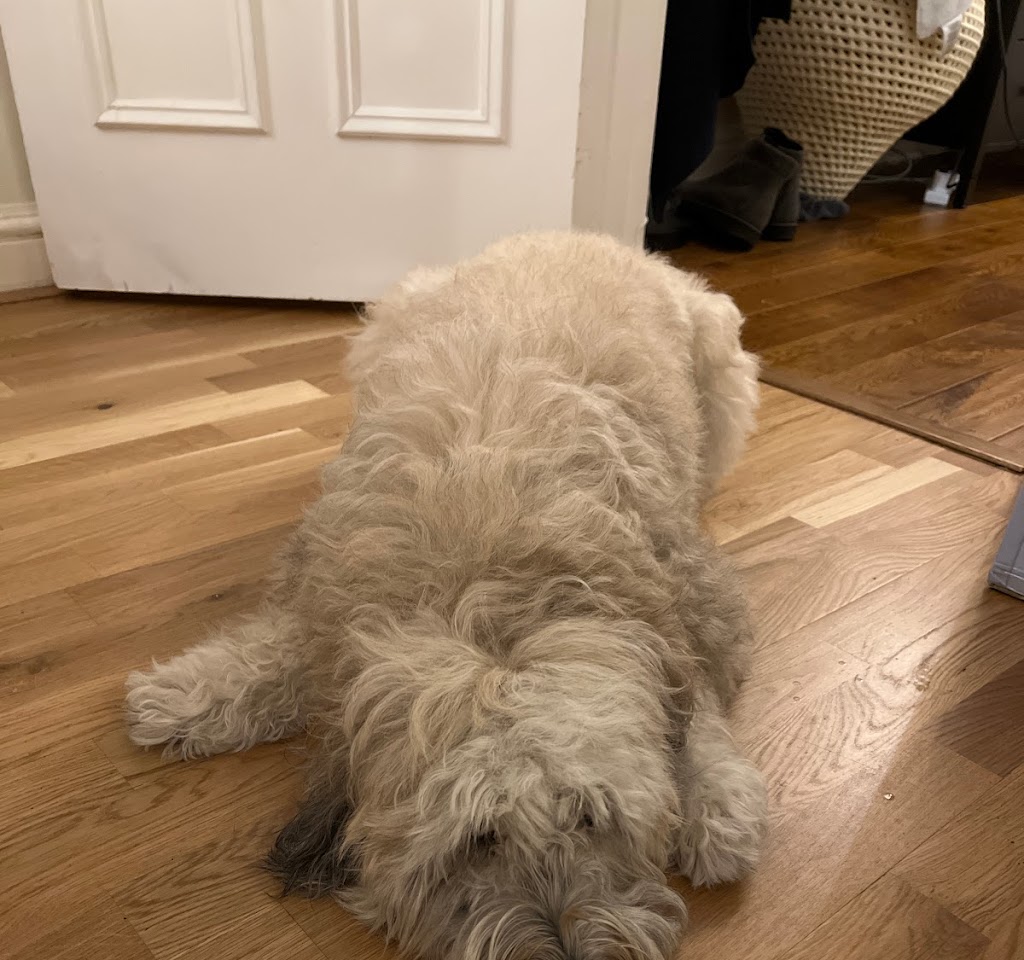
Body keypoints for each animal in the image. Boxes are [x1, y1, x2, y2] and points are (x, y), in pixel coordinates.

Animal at [126, 231, 766, 960]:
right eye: (477, 841)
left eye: (590, 816)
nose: (573, 952)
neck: (487, 588)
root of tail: (581, 234)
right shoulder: (327, 586)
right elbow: (280, 649)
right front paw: (191, 693)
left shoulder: (690, 603)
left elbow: (699, 707)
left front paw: (713, 799)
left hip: (723, 372)